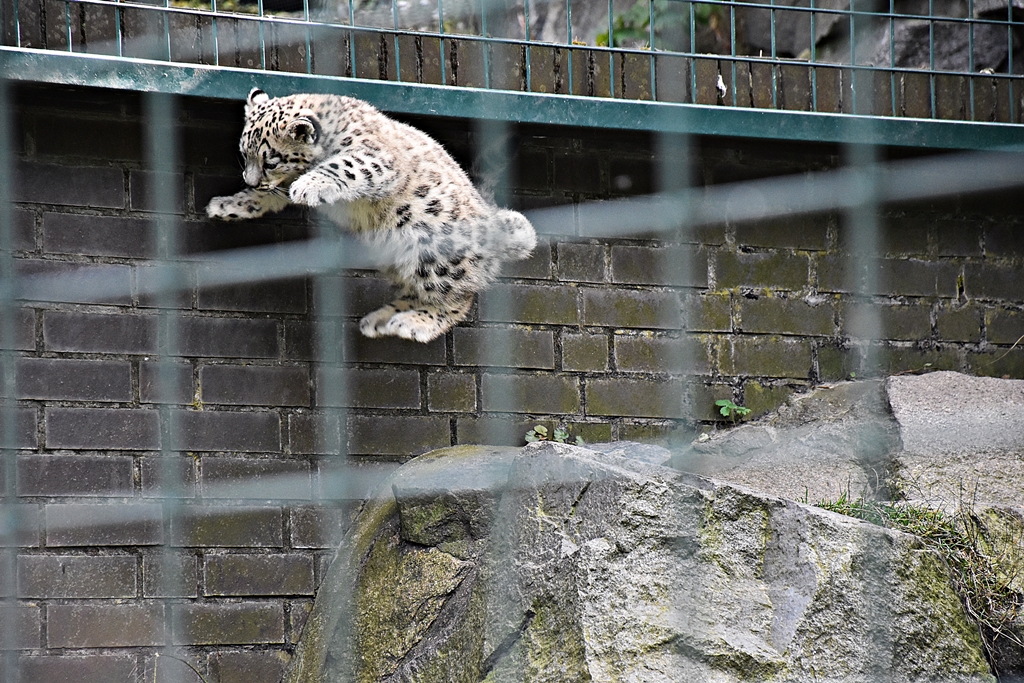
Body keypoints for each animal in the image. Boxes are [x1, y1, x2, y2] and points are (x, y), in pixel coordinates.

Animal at [206, 88, 537, 343]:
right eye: (244, 153)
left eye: (271, 161)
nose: (250, 180)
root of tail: (493, 223)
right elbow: (268, 196)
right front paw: (228, 204)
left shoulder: (376, 157)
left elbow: (343, 166)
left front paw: (307, 186)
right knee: (417, 293)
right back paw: (380, 320)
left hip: (435, 257)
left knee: (456, 300)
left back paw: (412, 323)